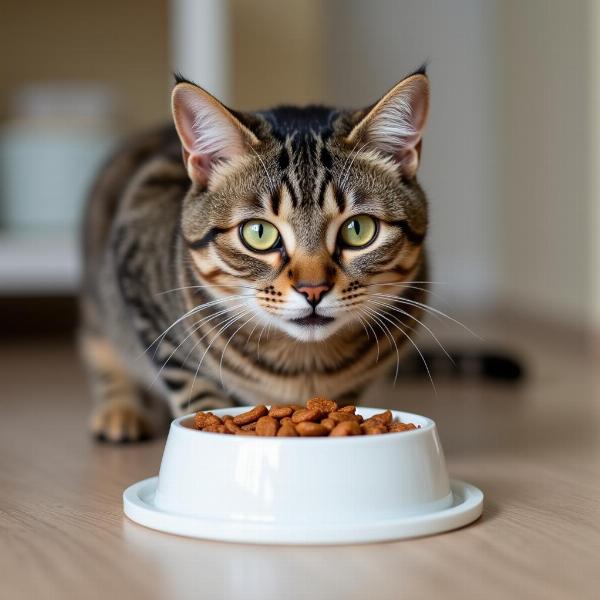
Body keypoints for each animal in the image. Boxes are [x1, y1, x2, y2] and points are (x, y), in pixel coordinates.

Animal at [81, 67, 432, 440]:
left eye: (358, 229)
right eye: (259, 233)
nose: (313, 290)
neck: (303, 365)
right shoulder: (144, 301)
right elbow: (192, 384)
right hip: (99, 303)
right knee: (101, 350)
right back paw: (119, 411)